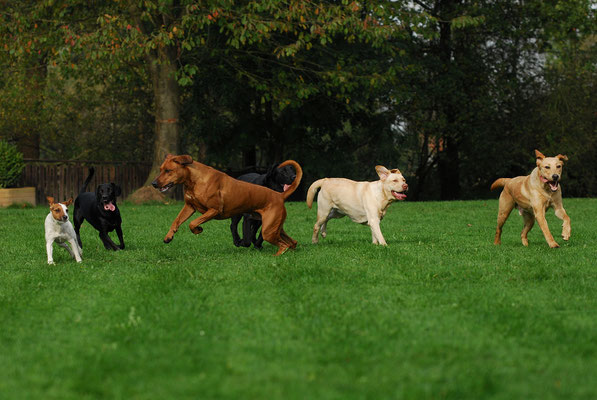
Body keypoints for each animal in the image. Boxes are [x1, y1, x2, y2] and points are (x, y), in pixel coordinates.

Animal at [152, 155, 302, 255]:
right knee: (292, 242)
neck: (195, 180)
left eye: (168, 170)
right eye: (161, 169)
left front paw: (198, 230)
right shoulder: (189, 207)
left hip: (267, 230)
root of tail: (279, 195)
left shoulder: (214, 210)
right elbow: (176, 221)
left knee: (283, 245)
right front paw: (169, 236)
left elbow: (192, 223)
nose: (153, 183)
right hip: (273, 227)